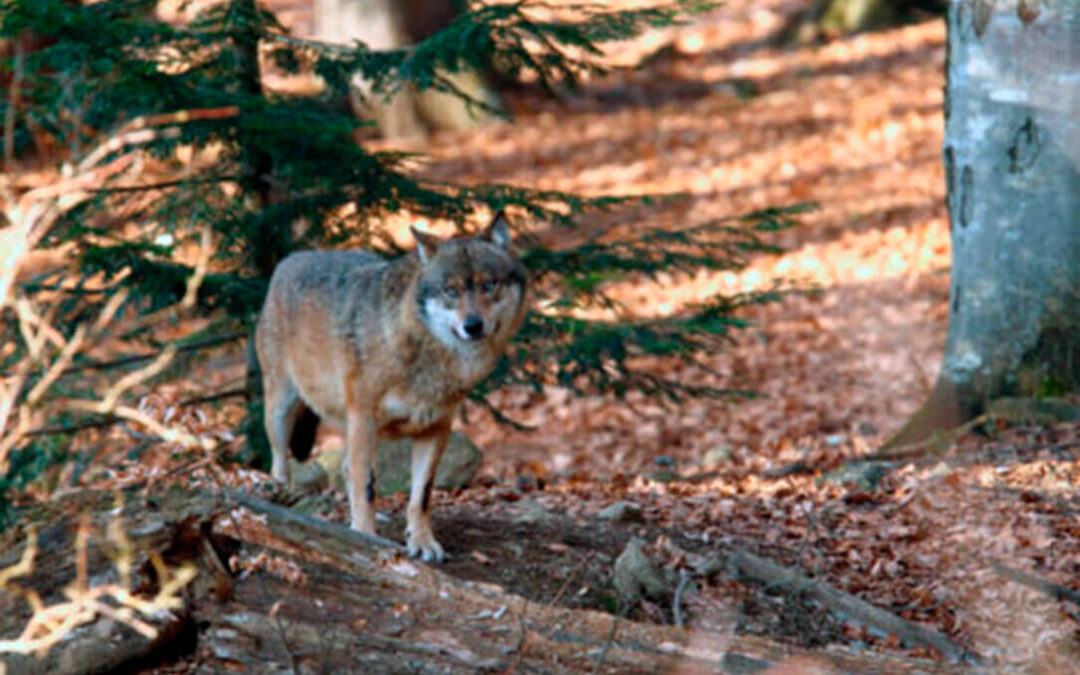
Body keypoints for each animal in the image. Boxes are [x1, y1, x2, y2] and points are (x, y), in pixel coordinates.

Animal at [255, 212, 527, 562]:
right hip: (282, 408)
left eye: (489, 285)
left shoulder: (436, 429)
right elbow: (367, 485)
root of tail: (290, 259)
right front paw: (365, 539)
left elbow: (421, 495)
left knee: (343, 467)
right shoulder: (364, 419)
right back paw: (279, 496)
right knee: (281, 458)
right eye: (450, 290)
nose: (473, 326)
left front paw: (422, 542)